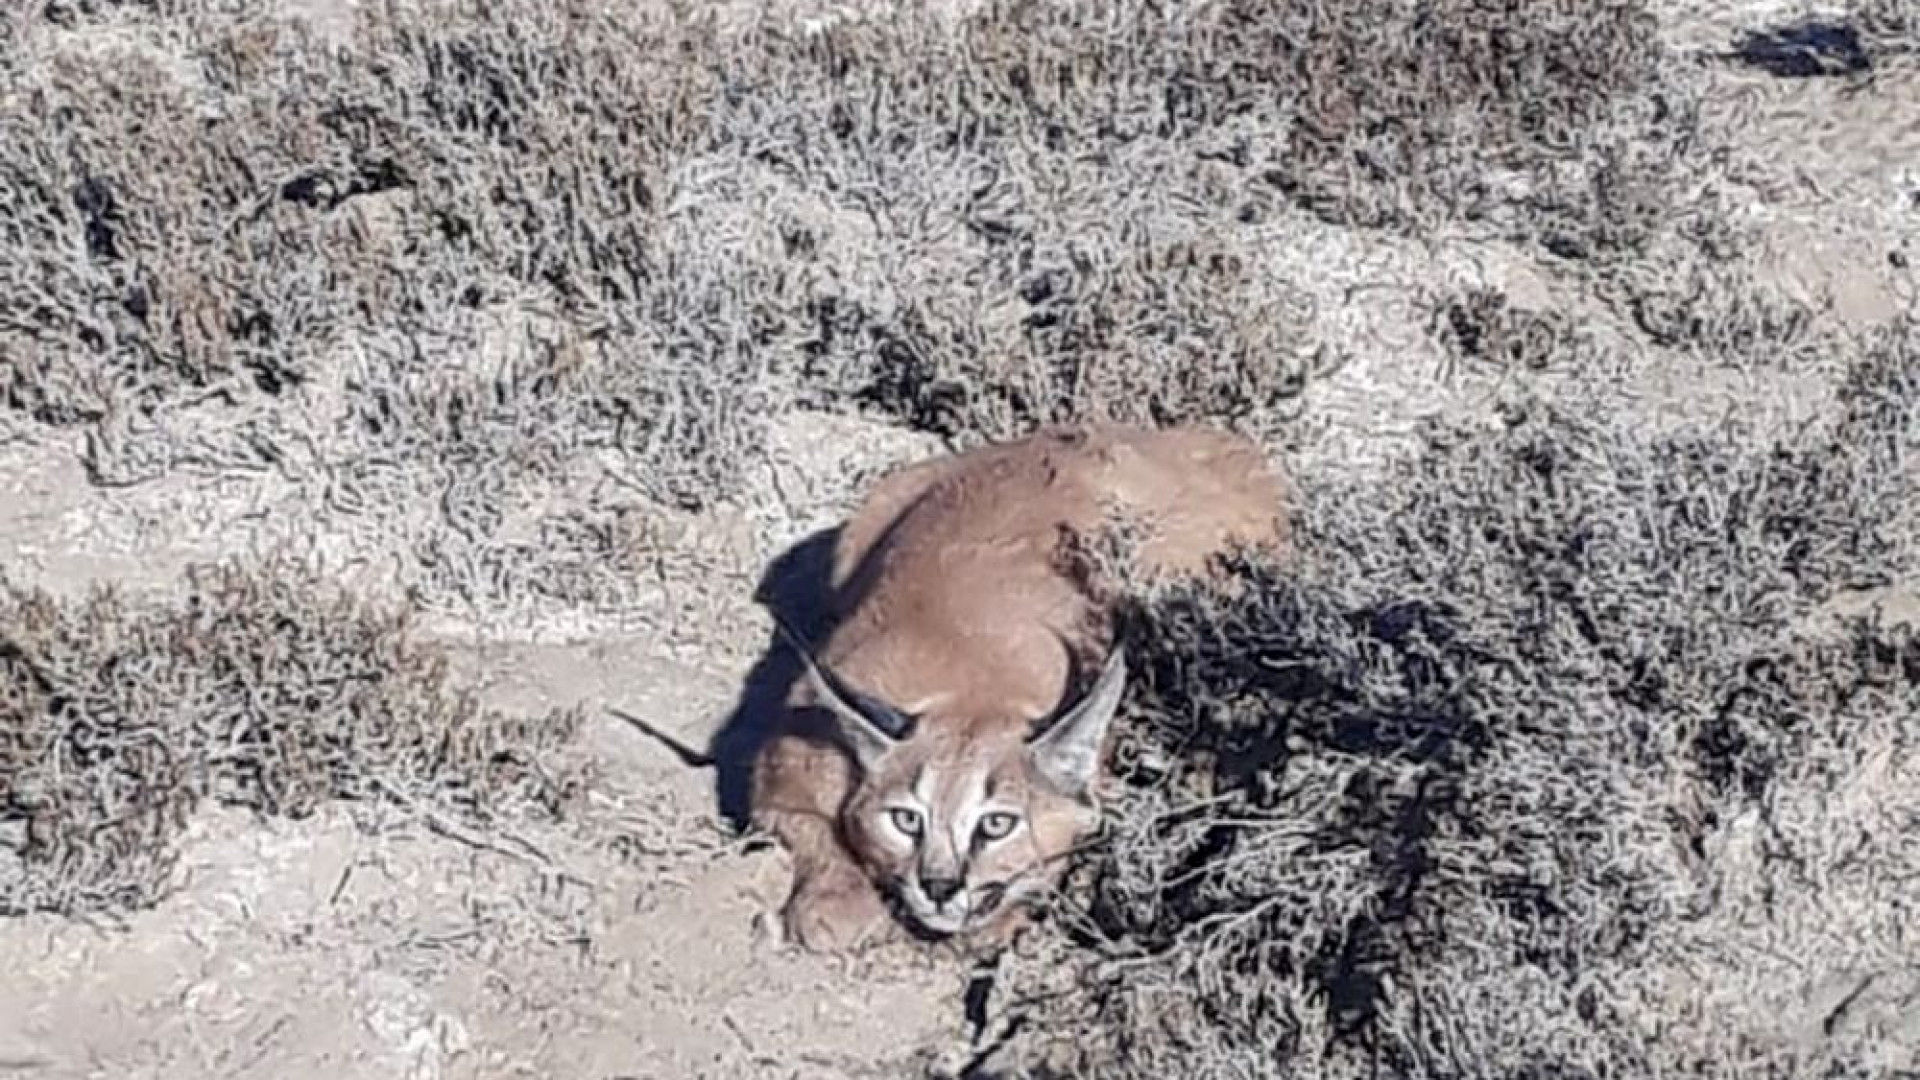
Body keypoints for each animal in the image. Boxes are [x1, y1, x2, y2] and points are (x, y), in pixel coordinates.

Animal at [748, 422, 1290, 949]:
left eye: (996, 824)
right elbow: (808, 824)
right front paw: (838, 900)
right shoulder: (785, 754)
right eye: (907, 820)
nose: (940, 886)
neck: (967, 688)